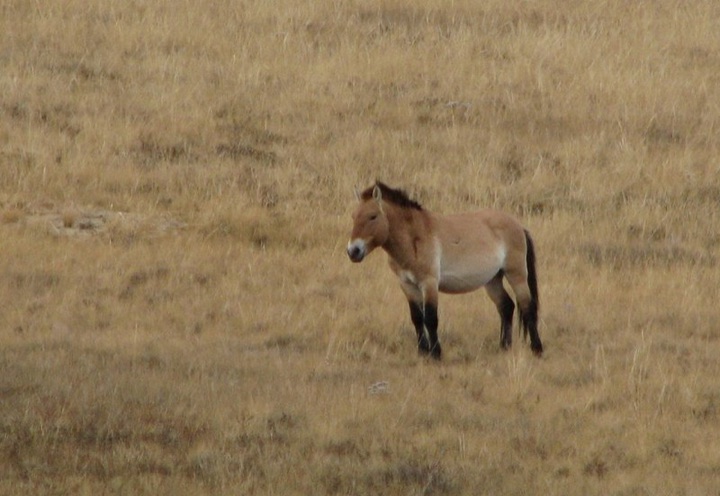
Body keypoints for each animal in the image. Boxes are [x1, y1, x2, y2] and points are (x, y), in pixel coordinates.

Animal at [346, 181, 543, 359]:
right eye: (353, 216)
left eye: (372, 216)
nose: (353, 251)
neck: (415, 237)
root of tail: (518, 226)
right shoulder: (407, 285)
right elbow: (417, 318)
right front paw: (422, 352)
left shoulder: (429, 283)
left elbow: (430, 318)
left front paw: (436, 354)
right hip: (492, 279)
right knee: (506, 306)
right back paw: (504, 347)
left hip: (516, 274)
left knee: (527, 306)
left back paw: (537, 349)